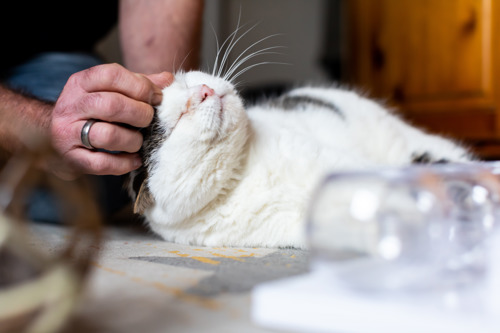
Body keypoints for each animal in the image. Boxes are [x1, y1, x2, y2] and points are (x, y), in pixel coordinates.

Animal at [127, 70, 474, 248]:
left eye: (186, 81)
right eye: (176, 123)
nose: (204, 91)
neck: (245, 172)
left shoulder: (341, 165)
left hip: (402, 141)